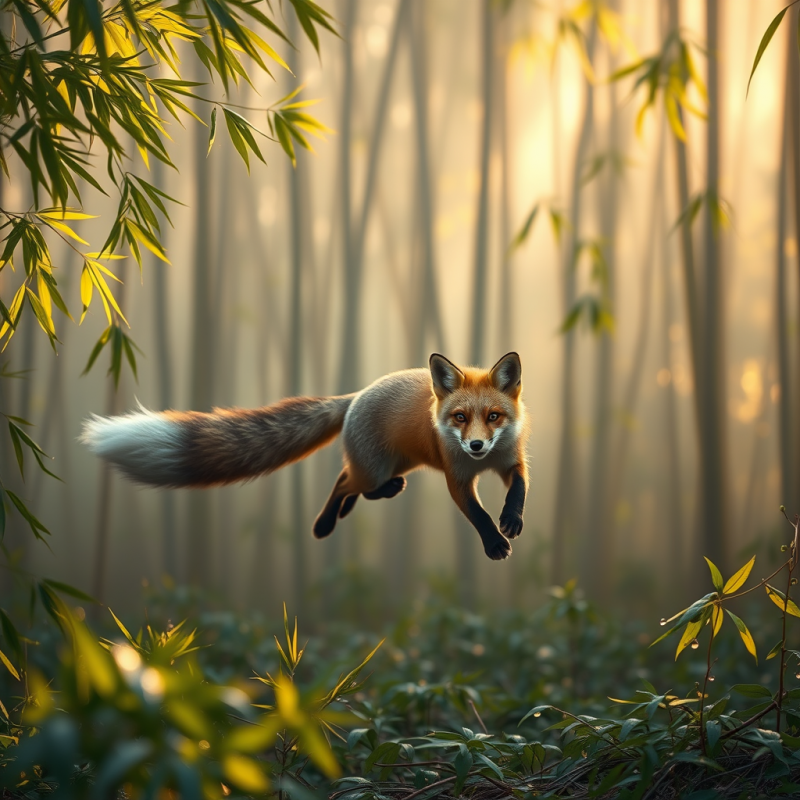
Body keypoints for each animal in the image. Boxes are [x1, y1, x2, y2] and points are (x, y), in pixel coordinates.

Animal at [81, 352, 529, 560]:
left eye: (493, 416)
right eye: (459, 418)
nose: (476, 447)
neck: (481, 464)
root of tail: (358, 393)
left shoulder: (511, 459)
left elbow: (519, 489)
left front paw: (511, 520)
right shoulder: (457, 478)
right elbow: (477, 513)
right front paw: (495, 542)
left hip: (397, 462)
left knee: (352, 483)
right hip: (377, 467)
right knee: (346, 482)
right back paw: (327, 522)